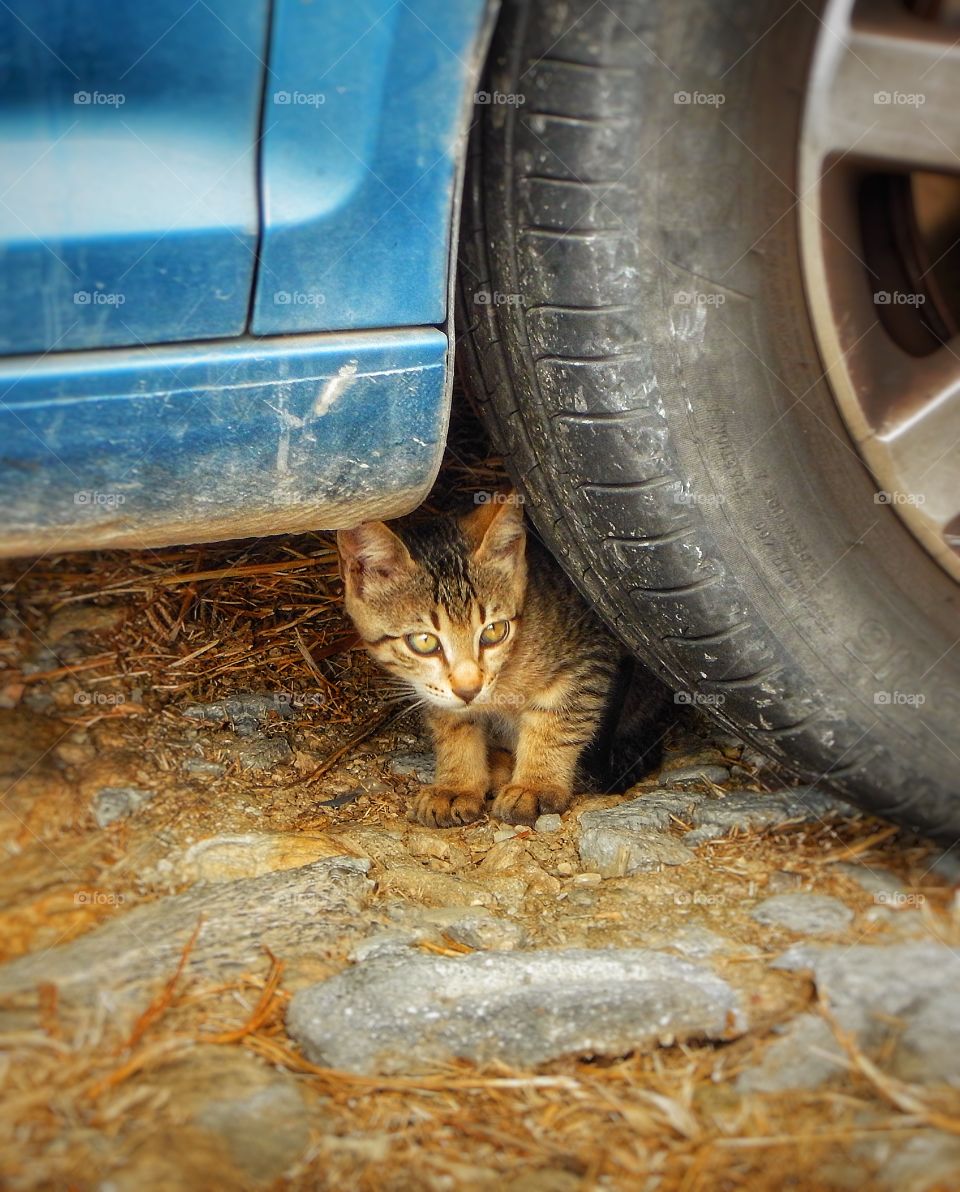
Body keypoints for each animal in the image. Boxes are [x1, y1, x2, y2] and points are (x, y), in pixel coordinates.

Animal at [341, 495, 672, 829]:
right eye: (424, 641)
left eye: (494, 631)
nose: (469, 690)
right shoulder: (432, 690)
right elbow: (454, 725)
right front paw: (457, 784)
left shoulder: (588, 654)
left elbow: (557, 721)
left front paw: (535, 784)